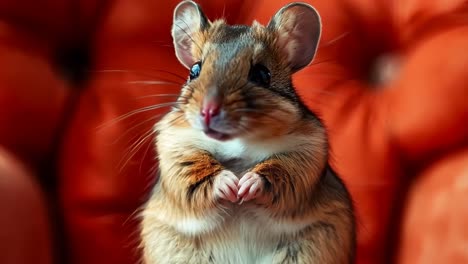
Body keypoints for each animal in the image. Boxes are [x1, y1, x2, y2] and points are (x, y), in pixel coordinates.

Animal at [139, 1, 354, 262]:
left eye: (262, 74)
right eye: (195, 70)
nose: (208, 111)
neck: (238, 144)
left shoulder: (307, 153)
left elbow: (279, 169)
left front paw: (246, 186)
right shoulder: (176, 148)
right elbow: (198, 169)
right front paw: (231, 186)